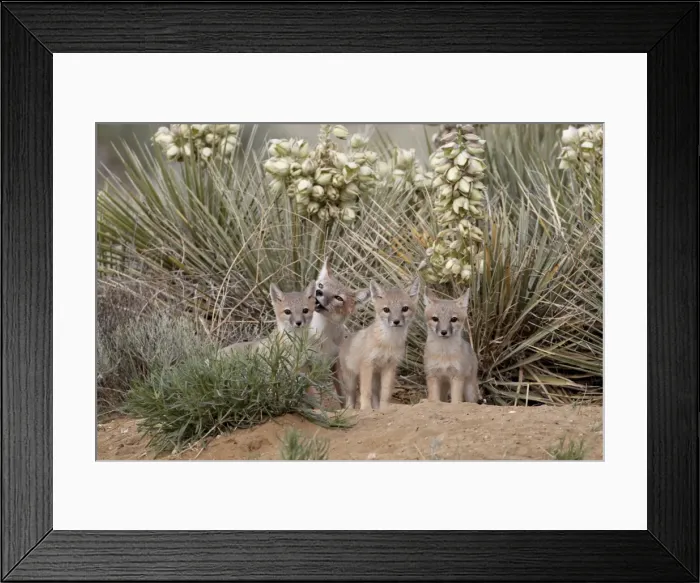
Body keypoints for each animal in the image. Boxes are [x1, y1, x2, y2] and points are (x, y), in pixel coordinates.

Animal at [339, 277, 421, 410]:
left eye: (405, 309)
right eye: (386, 310)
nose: (396, 321)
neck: (388, 342)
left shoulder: (390, 366)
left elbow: (385, 393)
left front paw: (384, 409)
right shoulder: (367, 364)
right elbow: (365, 391)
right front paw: (365, 409)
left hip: (375, 377)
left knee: (375, 395)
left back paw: (376, 409)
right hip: (351, 381)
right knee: (351, 398)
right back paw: (351, 410)